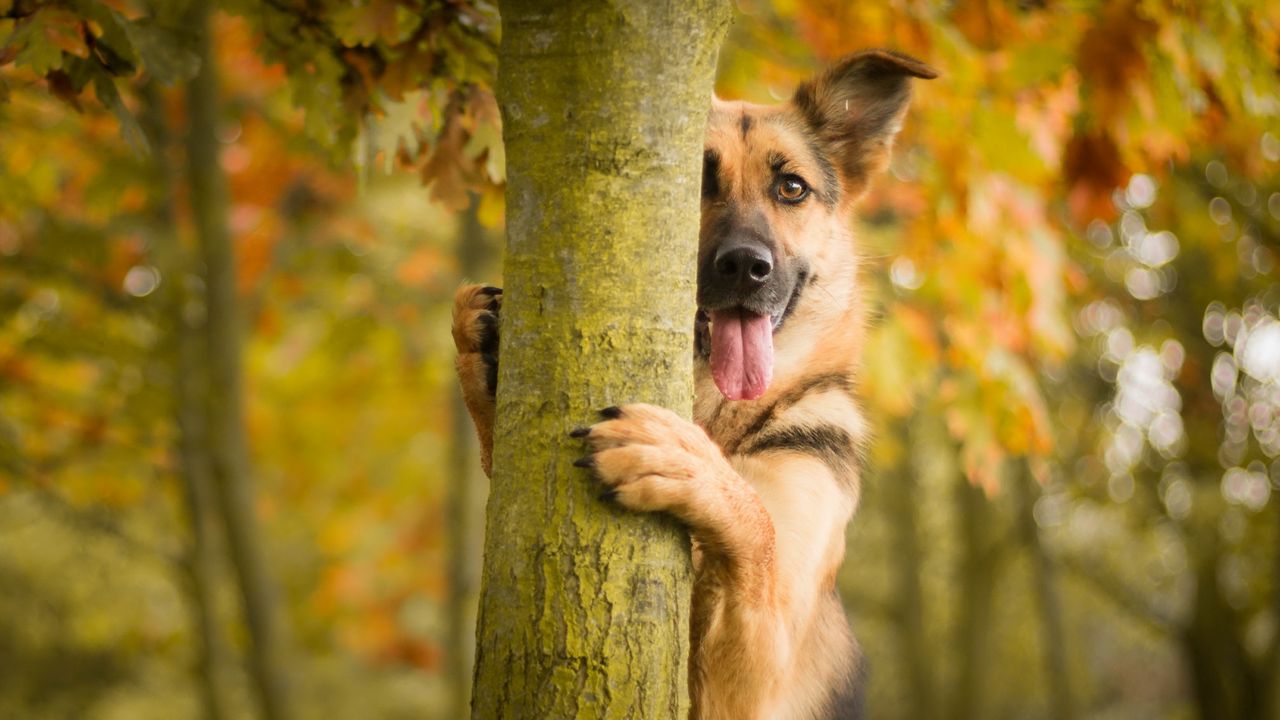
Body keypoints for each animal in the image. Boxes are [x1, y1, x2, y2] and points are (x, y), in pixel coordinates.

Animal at [455, 47, 936, 712]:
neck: (718, 413)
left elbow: (758, 528)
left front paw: (681, 459)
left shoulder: (757, 675)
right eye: (697, 184)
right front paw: (478, 347)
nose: (746, 267)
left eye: (791, 187)